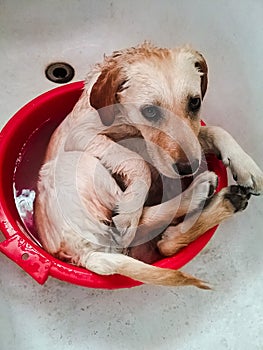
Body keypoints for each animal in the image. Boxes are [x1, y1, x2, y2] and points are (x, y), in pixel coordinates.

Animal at [35, 42, 263, 288]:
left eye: (195, 102)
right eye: (150, 111)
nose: (188, 168)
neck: (130, 126)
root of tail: (83, 254)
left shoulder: (189, 141)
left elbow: (215, 130)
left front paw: (246, 165)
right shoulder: (81, 135)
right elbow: (138, 163)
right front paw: (129, 211)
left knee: (165, 243)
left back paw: (226, 200)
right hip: (75, 164)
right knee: (144, 224)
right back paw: (198, 191)